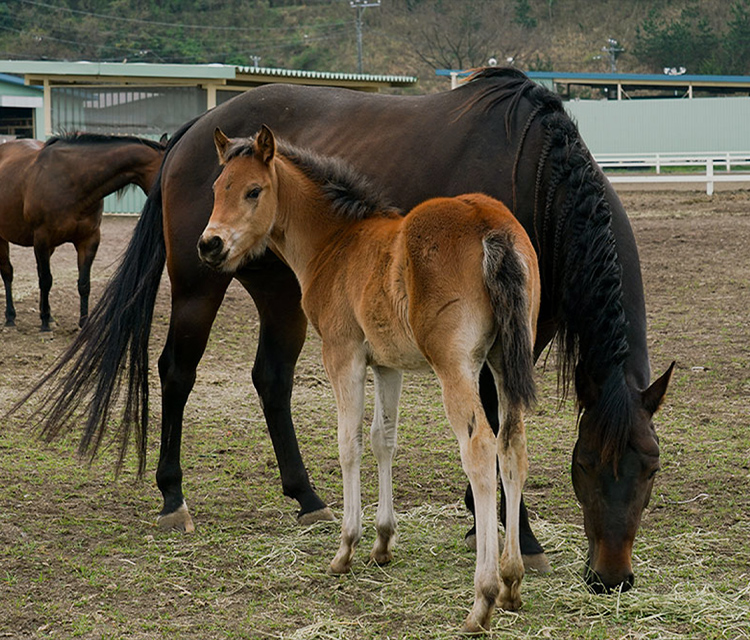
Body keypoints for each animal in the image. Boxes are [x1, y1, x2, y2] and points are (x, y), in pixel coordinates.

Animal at [0, 131, 166, 330]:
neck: (72, 181)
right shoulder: (41, 238)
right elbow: (46, 280)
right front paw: (45, 324)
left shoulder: (88, 239)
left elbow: (84, 283)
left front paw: (83, 322)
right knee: (8, 272)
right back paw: (11, 318)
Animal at [200, 127, 540, 632]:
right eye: (217, 188)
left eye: (253, 191)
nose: (210, 245)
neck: (337, 242)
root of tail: (489, 224)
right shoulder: (386, 364)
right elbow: (384, 440)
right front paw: (382, 541)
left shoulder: (342, 353)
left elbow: (350, 442)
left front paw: (346, 547)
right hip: (504, 360)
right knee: (511, 446)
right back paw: (513, 581)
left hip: (455, 366)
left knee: (480, 449)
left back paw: (483, 598)